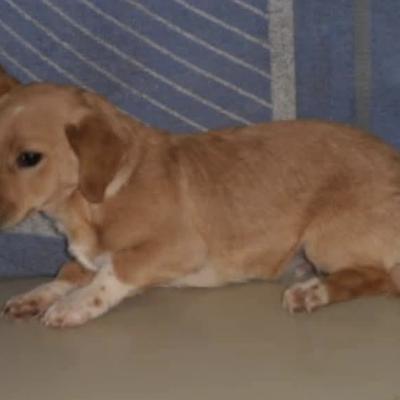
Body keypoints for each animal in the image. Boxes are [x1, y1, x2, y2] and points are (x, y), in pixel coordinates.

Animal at [0, 77, 399, 328]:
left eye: (29, 158)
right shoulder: (85, 255)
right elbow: (70, 270)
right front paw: (38, 295)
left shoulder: (179, 247)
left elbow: (115, 270)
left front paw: (76, 304)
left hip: (324, 240)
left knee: (380, 278)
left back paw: (313, 292)